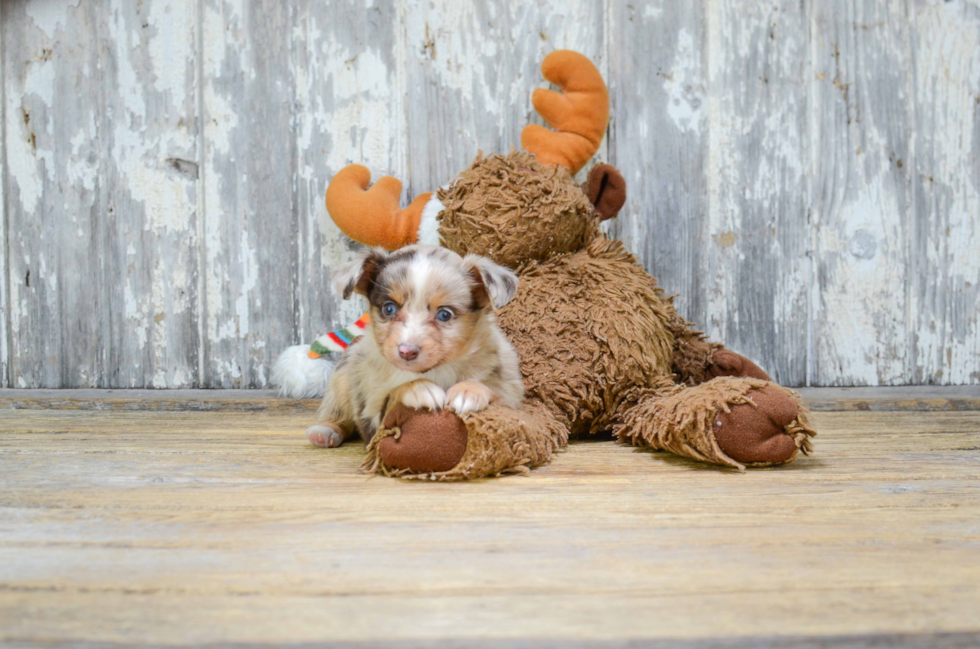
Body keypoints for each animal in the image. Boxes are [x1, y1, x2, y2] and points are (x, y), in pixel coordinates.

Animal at [306, 243, 524, 446]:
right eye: (389, 308)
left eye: (444, 314)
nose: (406, 351)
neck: (436, 370)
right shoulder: (374, 409)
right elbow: (396, 392)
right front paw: (419, 389)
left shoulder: (511, 395)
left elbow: (492, 390)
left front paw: (467, 391)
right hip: (342, 376)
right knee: (336, 414)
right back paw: (324, 432)